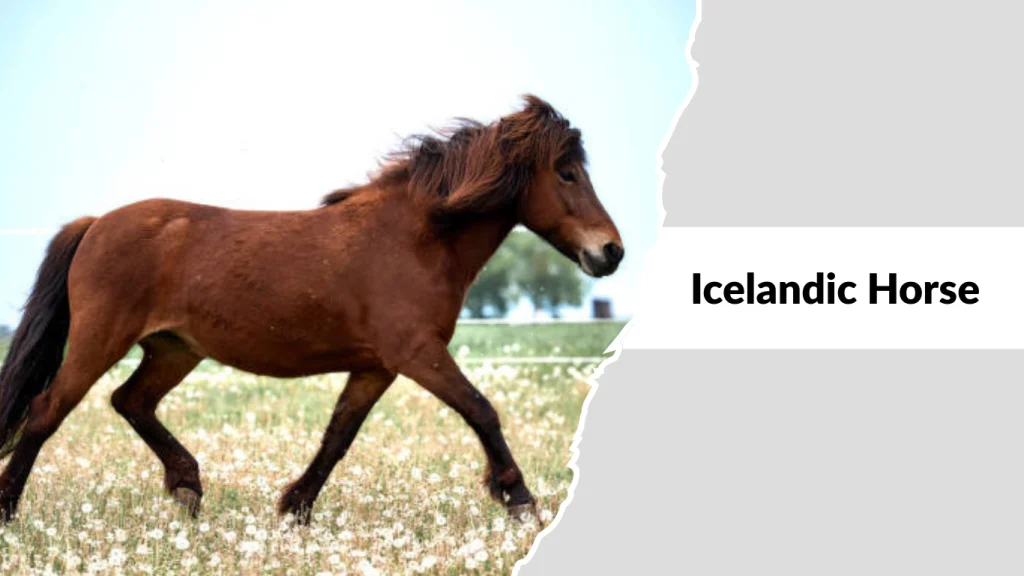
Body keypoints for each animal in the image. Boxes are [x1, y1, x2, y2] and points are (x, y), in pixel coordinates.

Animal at [0, 95, 624, 524]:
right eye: (567, 172)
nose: (610, 252)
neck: (416, 238)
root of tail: (94, 224)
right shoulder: (417, 353)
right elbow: (481, 409)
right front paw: (519, 499)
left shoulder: (376, 366)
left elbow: (337, 437)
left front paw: (294, 508)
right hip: (99, 340)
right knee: (47, 410)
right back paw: (9, 510)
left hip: (174, 350)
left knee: (130, 401)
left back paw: (188, 486)